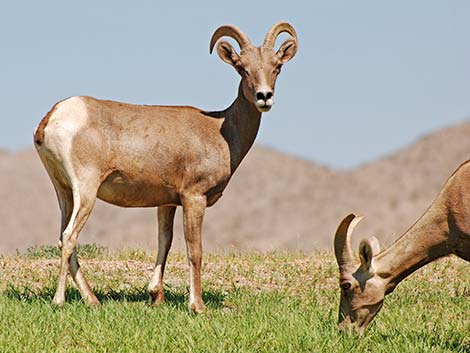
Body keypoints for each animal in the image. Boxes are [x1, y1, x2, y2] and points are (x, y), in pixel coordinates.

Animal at [33, 22, 298, 310]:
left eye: (277, 67)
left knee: (63, 238)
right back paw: (60, 300)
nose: (264, 97)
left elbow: (165, 241)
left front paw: (156, 296)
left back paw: (93, 300)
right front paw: (197, 306)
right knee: (70, 237)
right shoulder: (194, 198)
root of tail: (53, 117)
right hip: (86, 191)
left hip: (64, 192)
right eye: (242, 67)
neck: (221, 130)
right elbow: (195, 250)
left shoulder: (167, 203)